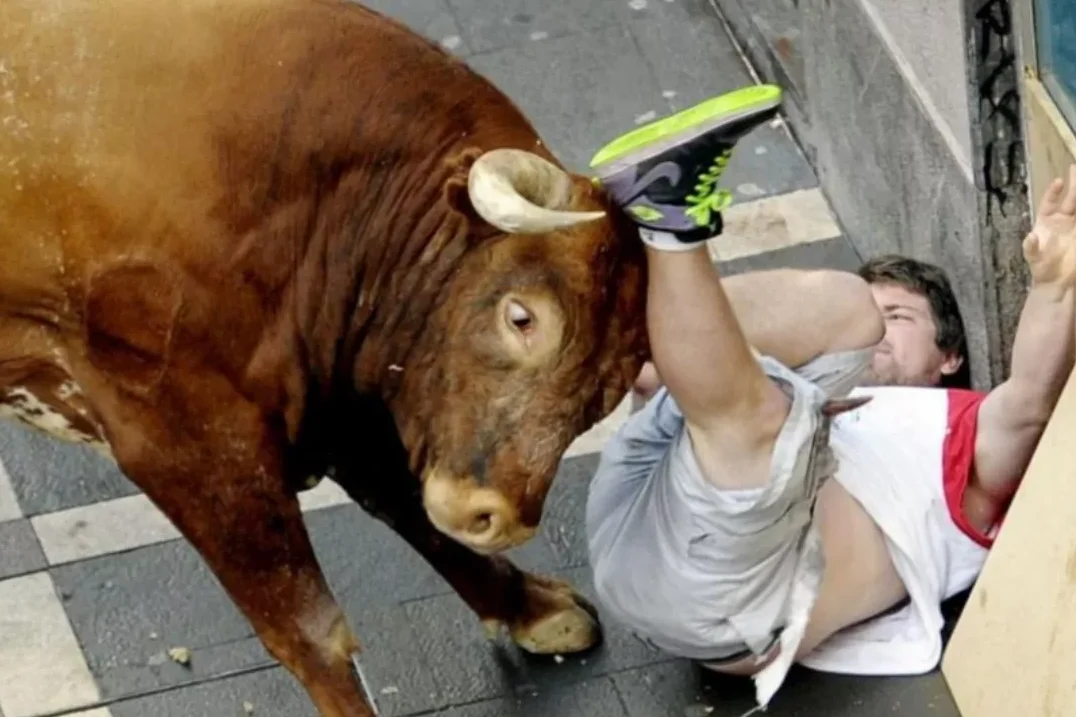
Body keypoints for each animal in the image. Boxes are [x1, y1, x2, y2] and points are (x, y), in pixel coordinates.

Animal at [0, 0, 645, 710]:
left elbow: (402, 501)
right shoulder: (186, 441)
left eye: (609, 392)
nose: (497, 516)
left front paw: (532, 607)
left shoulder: (342, 400)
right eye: (521, 316)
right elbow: (309, 631)